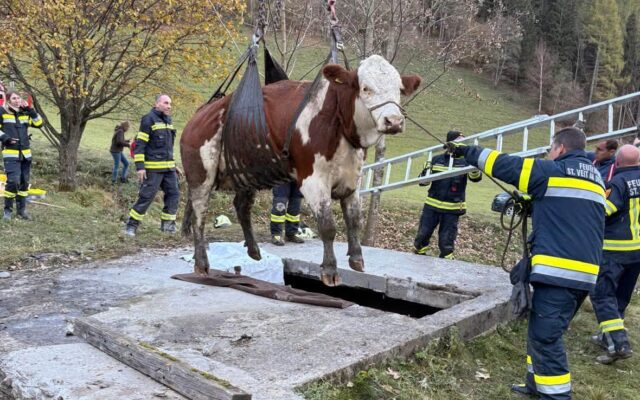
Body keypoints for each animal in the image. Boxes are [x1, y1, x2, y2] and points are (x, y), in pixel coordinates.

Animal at [181, 55, 421, 286]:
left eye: (399, 89)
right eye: (365, 88)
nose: (394, 121)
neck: (337, 121)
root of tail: (200, 114)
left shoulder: (353, 179)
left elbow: (354, 220)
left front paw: (356, 259)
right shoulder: (313, 180)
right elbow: (328, 226)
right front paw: (330, 270)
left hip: (246, 173)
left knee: (241, 207)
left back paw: (254, 250)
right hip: (201, 176)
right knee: (200, 216)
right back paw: (201, 263)